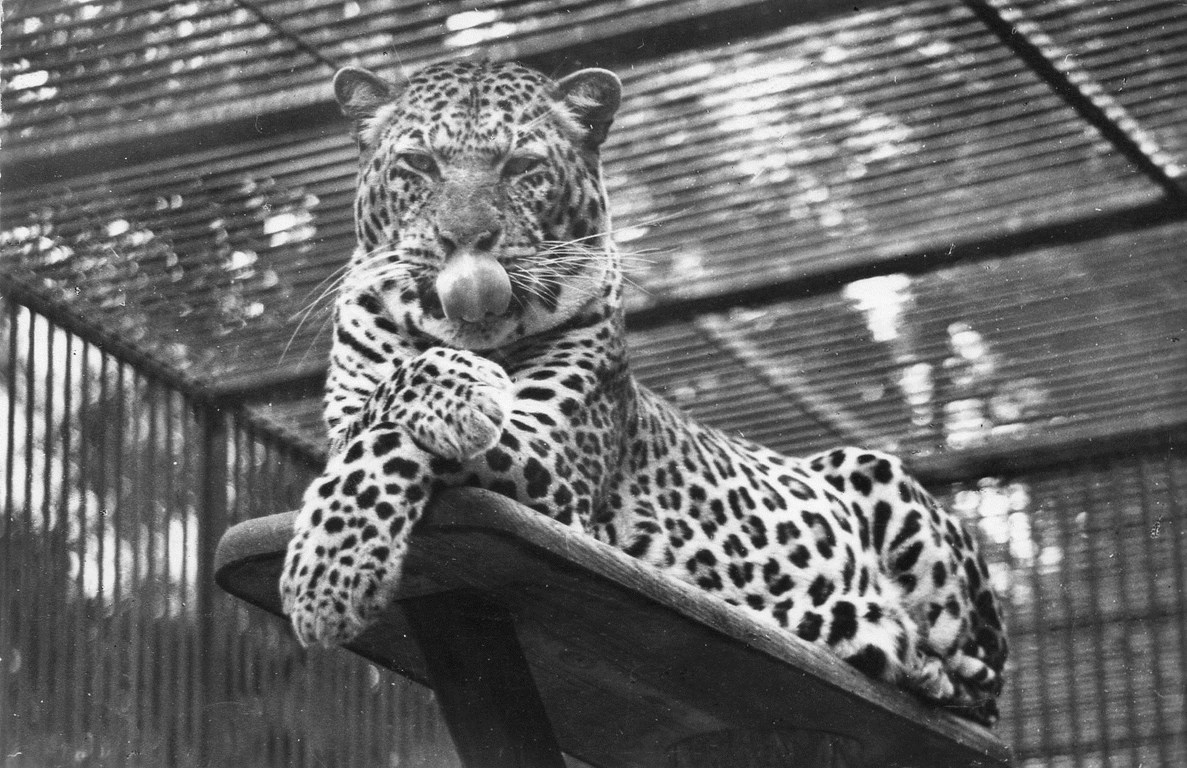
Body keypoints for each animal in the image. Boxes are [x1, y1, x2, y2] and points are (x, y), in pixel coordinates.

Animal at [279, 59, 1007, 725]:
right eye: (419, 164)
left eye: (521, 166)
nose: (465, 241)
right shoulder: (346, 422)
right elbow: (376, 418)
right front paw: (333, 572)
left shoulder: (553, 458)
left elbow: (385, 439)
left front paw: (324, 580)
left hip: (875, 478)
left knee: (981, 687)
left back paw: (917, 658)